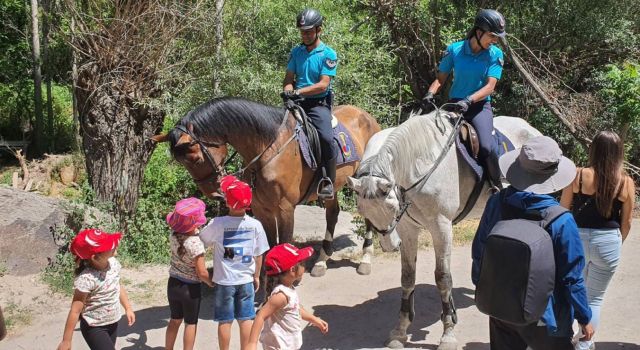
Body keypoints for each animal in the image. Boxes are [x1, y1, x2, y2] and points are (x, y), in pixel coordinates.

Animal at [151, 98, 380, 276]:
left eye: (196, 159)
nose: (214, 193)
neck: (269, 148)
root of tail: (367, 117)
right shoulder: (262, 209)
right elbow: (269, 245)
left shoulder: (286, 209)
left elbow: (284, 243)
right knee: (332, 214)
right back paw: (322, 262)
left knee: (368, 214)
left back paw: (366, 260)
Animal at [344, 110, 540, 350]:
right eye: (362, 210)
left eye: (390, 206)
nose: (390, 245)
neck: (420, 164)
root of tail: (531, 129)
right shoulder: (408, 229)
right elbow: (407, 277)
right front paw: (400, 331)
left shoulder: (442, 227)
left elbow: (443, 278)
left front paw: (448, 334)